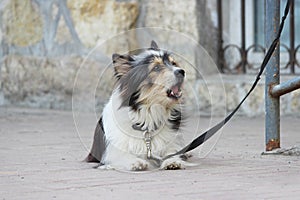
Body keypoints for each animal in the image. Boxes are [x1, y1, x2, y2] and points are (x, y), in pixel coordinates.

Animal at [85, 40, 192, 170]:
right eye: (156, 68)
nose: (182, 71)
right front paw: (136, 162)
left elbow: (172, 152)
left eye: (173, 63)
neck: (150, 112)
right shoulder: (111, 153)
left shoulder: (172, 142)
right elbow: (123, 156)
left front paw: (172, 161)